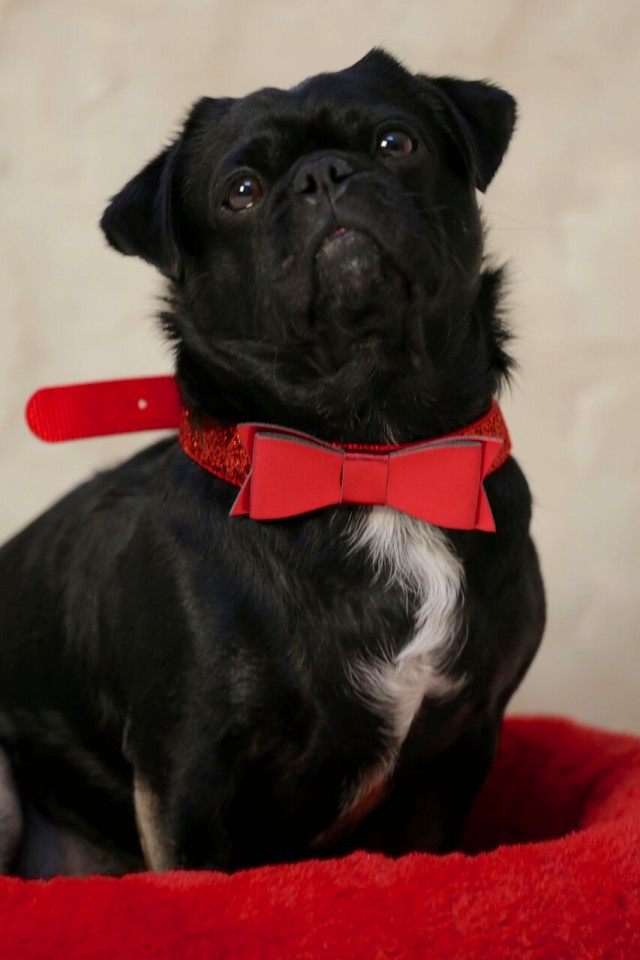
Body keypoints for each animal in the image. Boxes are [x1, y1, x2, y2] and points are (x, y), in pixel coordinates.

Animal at [0, 52, 544, 876]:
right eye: (243, 191)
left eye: (395, 143)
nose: (323, 173)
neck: (368, 449)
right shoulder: (187, 770)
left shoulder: (459, 746)